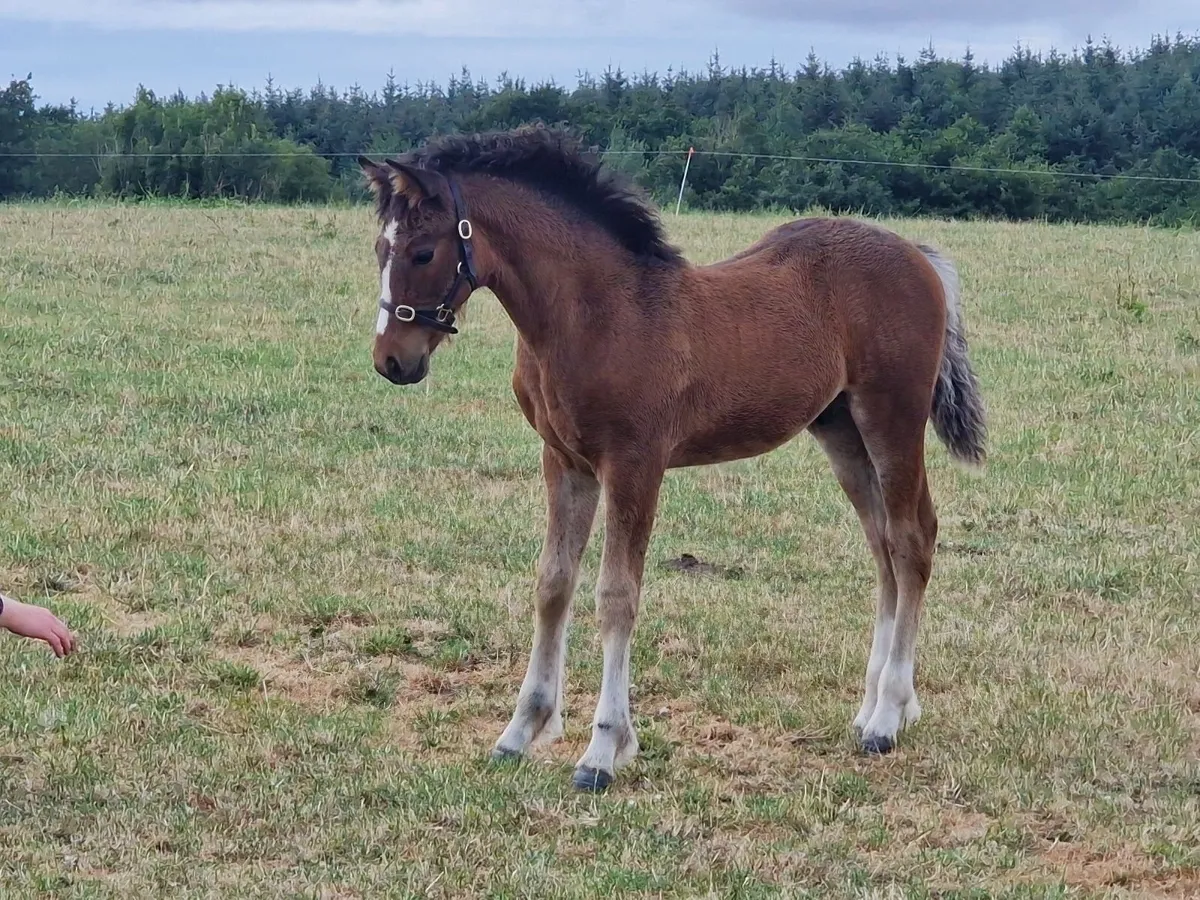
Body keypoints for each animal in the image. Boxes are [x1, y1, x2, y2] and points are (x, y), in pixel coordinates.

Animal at [357, 125, 986, 792]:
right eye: (380, 248)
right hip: (840, 431)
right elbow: (553, 583)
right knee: (883, 546)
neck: (595, 315)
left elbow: (616, 595)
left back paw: (888, 718)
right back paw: (874, 708)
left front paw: (603, 751)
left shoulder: (635, 464)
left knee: (911, 539)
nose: (392, 360)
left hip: (892, 419)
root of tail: (917, 255)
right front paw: (521, 731)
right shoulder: (564, 462)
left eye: (423, 252)